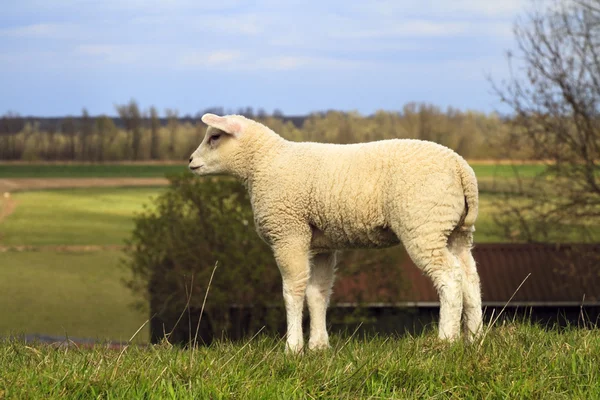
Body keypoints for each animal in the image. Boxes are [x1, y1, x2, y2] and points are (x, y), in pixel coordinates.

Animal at [190, 113, 486, 354]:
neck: (262, 164)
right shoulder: (322, 244)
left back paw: (446, 339)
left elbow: (292, 291)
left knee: (450, 277)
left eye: (215, 137)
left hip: (424, 225)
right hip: (456, 230)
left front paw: (293, 347)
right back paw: (474, 337)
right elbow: (317, 294)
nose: (191, 161)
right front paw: (318, 346)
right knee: (470, 277)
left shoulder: (289, 232)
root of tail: (461, 167)